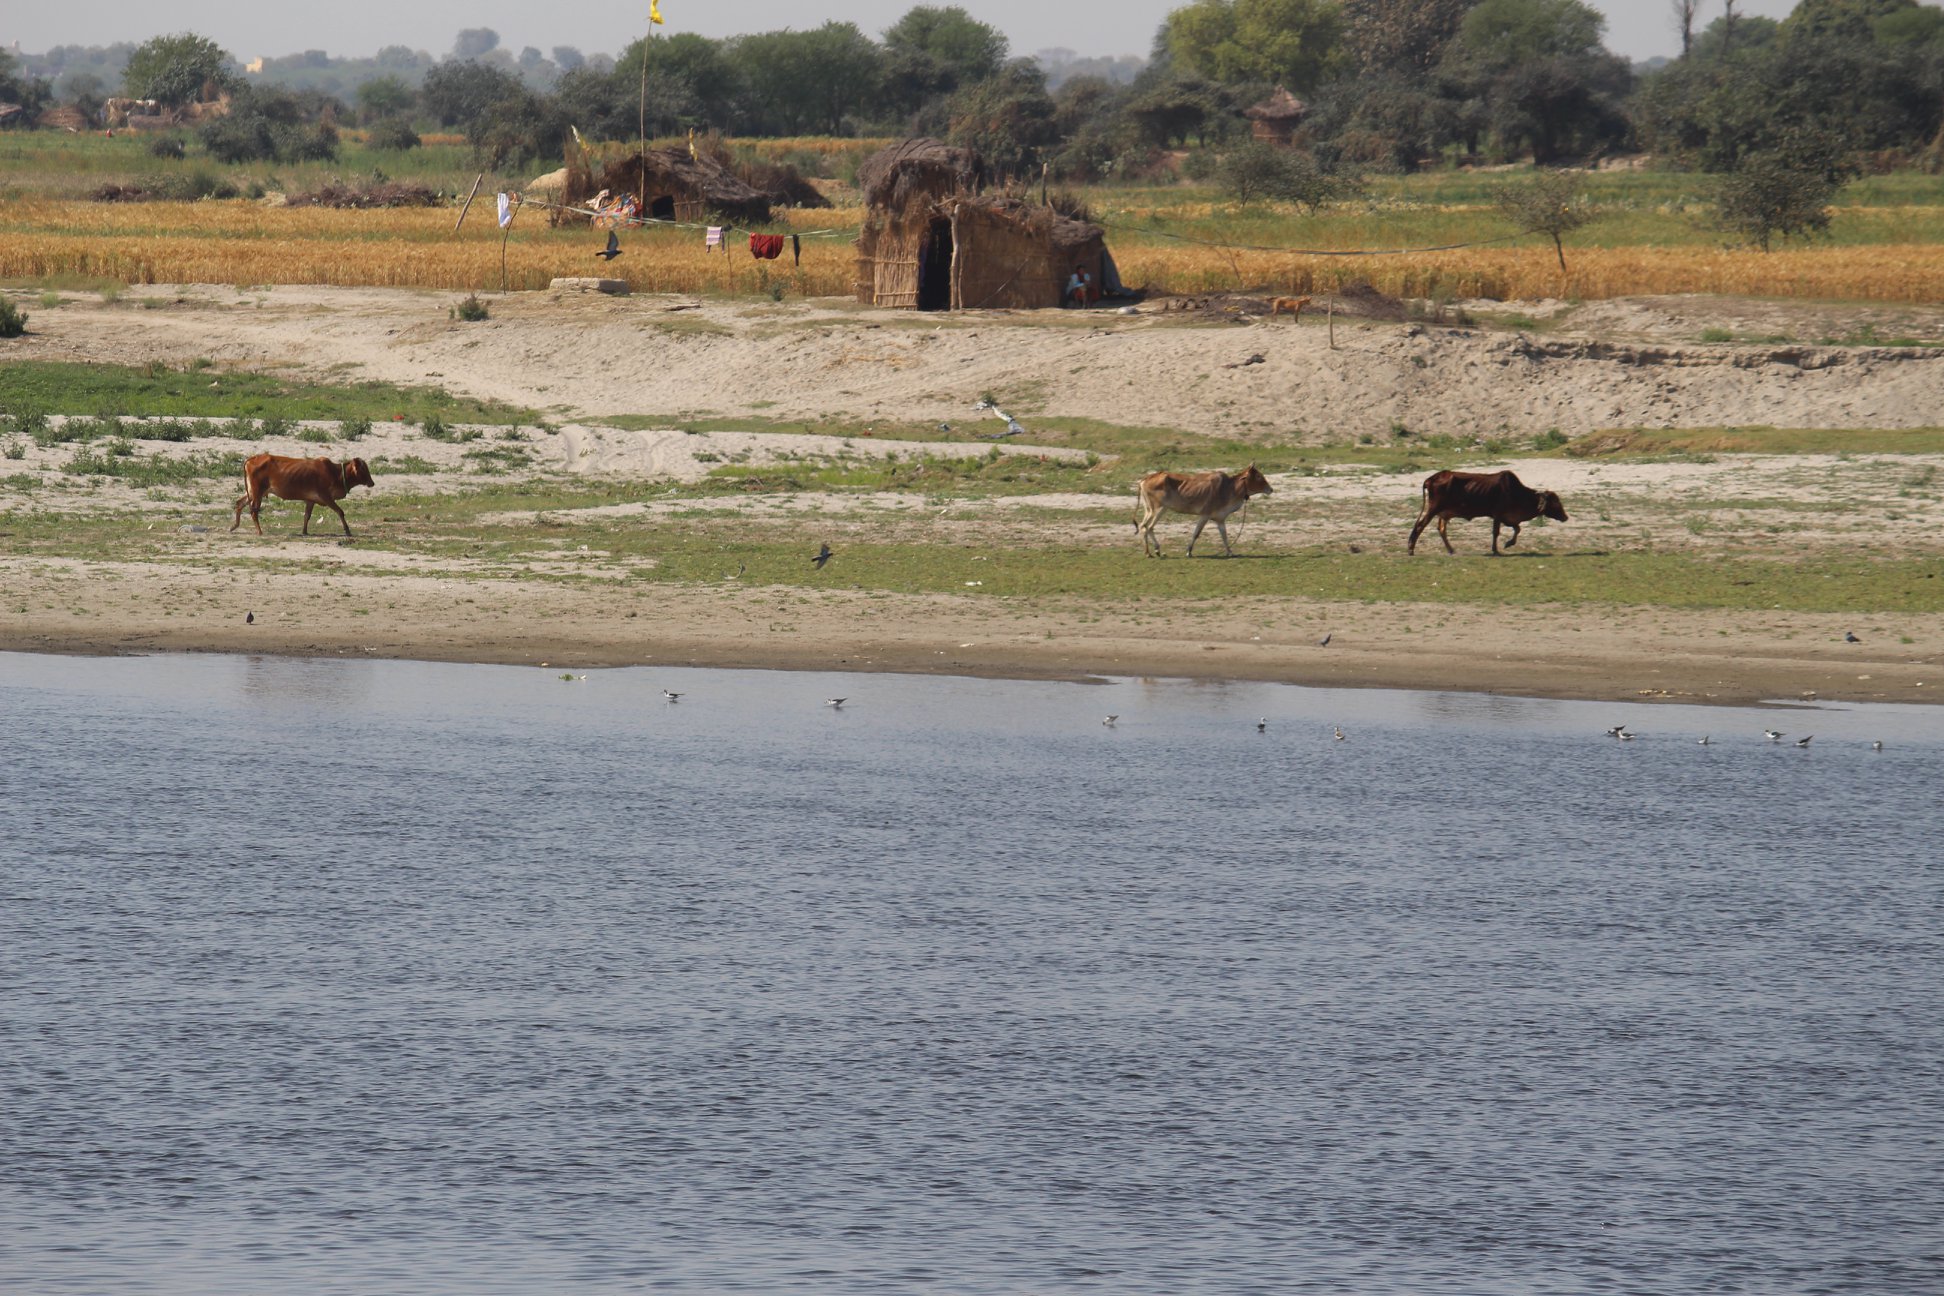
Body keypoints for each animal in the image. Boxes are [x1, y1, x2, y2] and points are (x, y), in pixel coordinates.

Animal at [231, 454, 375, 537]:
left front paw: (304, 531)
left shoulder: (311, 500)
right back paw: (259, 531)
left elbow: (307, 516)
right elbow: (340, 512)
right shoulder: (326, 497)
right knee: (253, 511)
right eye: (363, 469)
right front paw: (347, 530)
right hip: (257, 492)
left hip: (252, 492)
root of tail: (251, 459)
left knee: (239, 503)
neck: (335, 473)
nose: (372, 482)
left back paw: (234, 526)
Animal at [1135, 464, 1273, 558]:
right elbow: (1196, 533)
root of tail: (1145, 479)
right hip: (1159, 509)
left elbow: (1224, 536)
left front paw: (1230, 552)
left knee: (1144, 526)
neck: (1229, 488)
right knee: (1148, 527)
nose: (1270, 489)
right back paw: (1154, 551)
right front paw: (1188, 552)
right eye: (1258, 476)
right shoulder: (1205, 515)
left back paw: (1151, 551)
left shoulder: (1220, 519)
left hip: (1150, 510)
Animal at [1407, 469, 1567, 556]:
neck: (1516, 492)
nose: (1565, 517)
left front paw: (1509, 543)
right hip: (1433, 509)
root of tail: (1431, 478)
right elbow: (1496, 532)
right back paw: (1411, 549)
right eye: (1555, 502)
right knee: (1420, 526)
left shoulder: (1508, 518)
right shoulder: (1498, 514)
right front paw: (1496, 550)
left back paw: (1451, 550)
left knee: (1441, 529)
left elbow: (1517, 529)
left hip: (1443, 513)